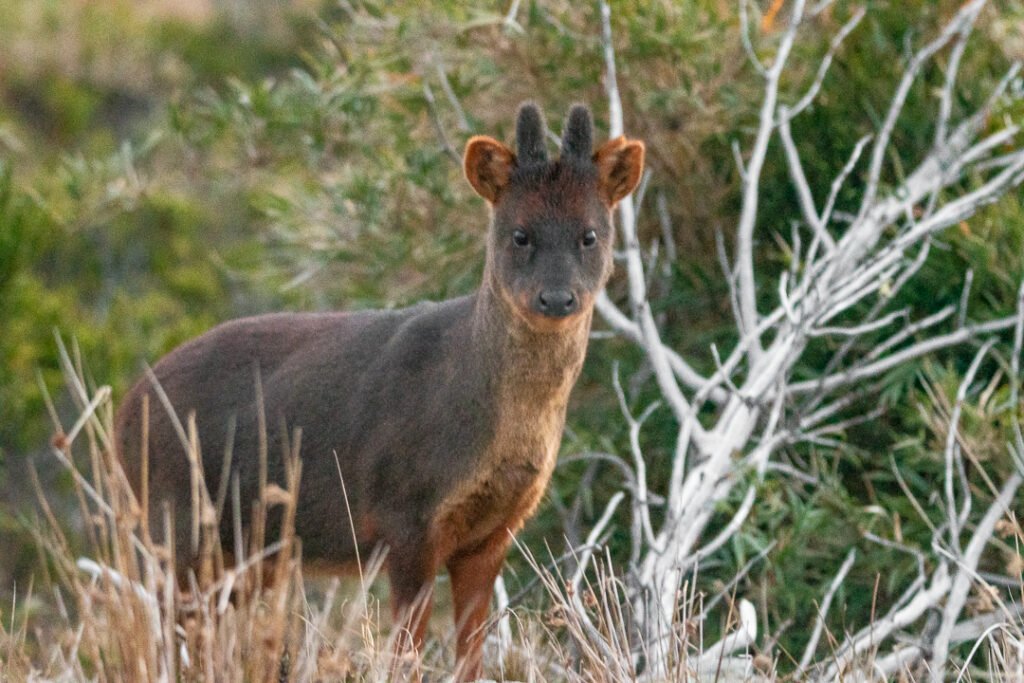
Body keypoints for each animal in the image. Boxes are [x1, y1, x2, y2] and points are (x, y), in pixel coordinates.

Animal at [116, 100, 643, 679]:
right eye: (520, 234)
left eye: (589, 234)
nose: (556, 298)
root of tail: (123, 411)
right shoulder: (404, 518)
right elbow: (406, 655)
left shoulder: (492, 534)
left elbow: (470, 657)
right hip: (175, 524)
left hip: (244, 554)